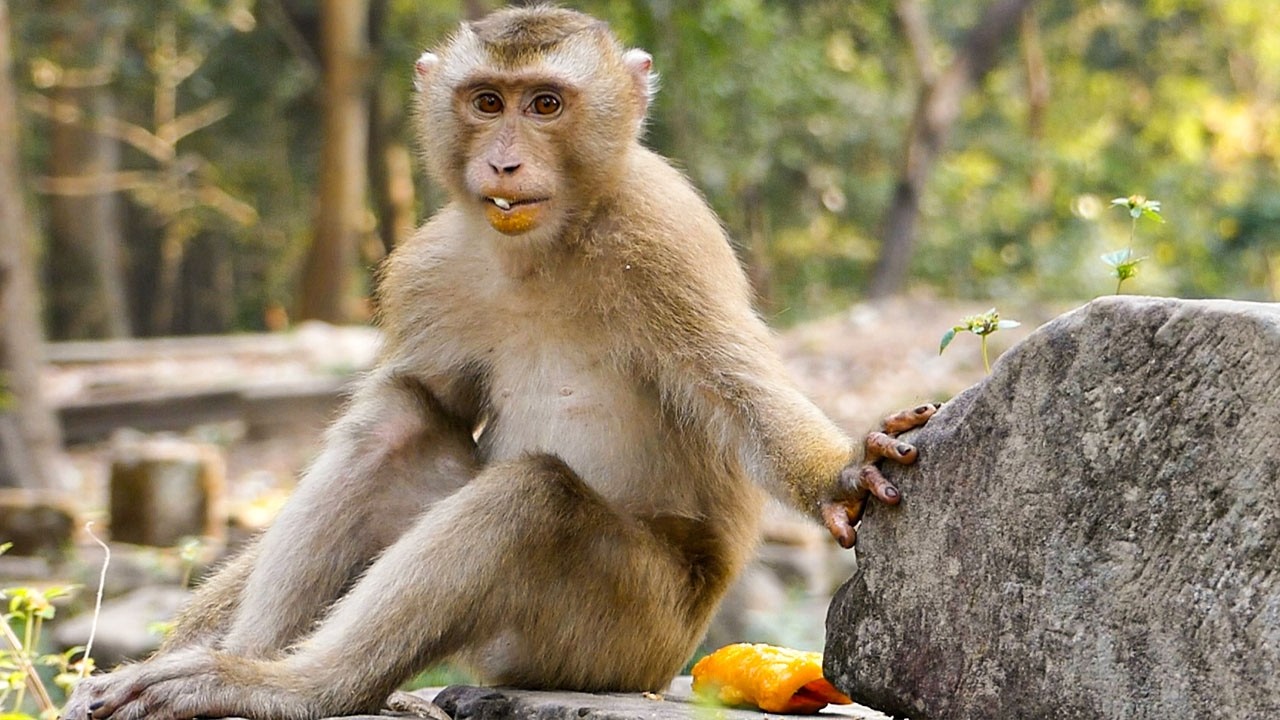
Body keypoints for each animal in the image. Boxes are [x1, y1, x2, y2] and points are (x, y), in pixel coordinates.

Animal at [61, 7, 936, 720]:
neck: (551, 246)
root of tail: (665, 664)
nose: (505, 164)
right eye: (487, 102)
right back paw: (244, 665)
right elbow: (425, 395)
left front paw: (842, 475)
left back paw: (298, 688)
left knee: (529, 499)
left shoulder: (663, 237)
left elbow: (736, 390)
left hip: (614, 634)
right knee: (396, 421)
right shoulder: (429, 270)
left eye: (545, 104)